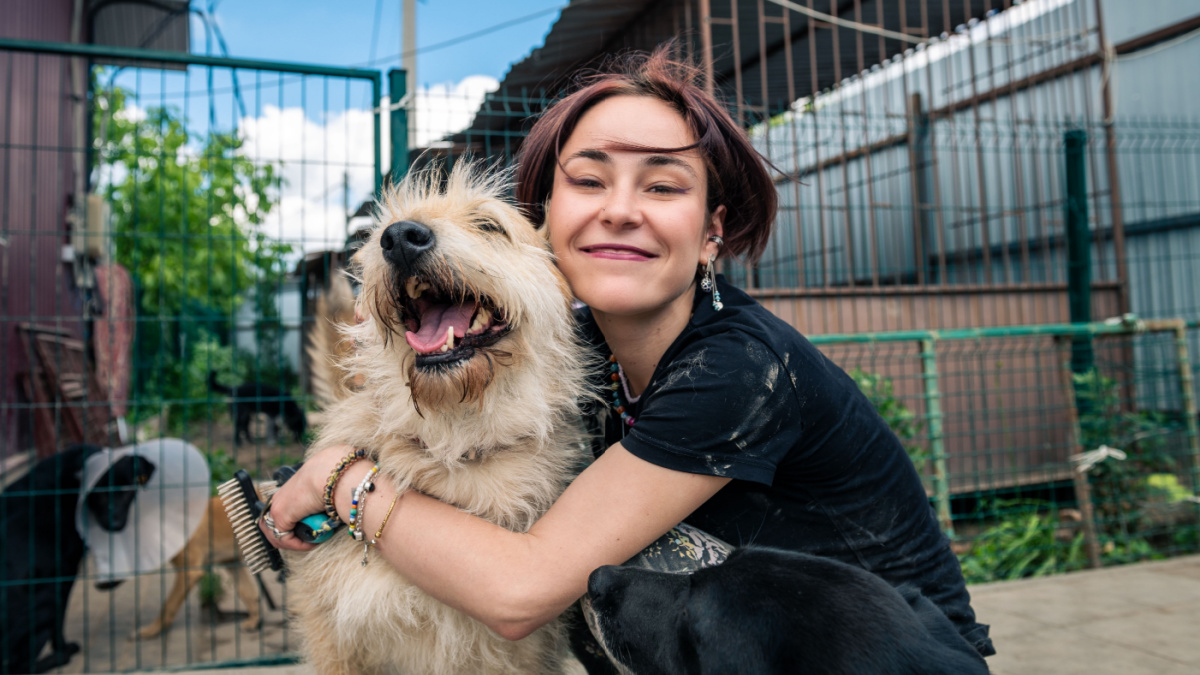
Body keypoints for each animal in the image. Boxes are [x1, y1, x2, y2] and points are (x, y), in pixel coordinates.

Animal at [0, 444, 157, 667]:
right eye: (98, 494)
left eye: (127, 491)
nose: (115, 524)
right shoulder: (65, 573)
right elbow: (58, 624)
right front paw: (63, 647)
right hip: (46, 602)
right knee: (19, 664)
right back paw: (60, 657)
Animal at [137, 494, 266, 634]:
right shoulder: (230, 562)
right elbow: (247, 592)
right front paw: (254, 621)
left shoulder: (189, 572)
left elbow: (168, 604)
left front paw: (151, 630)